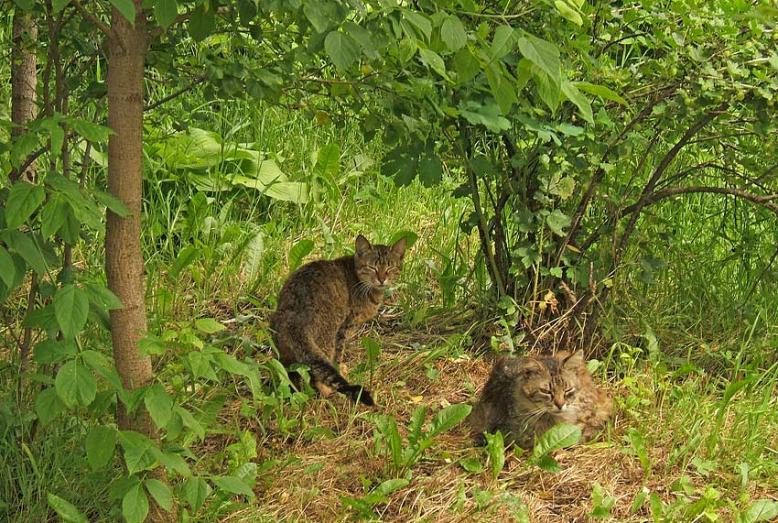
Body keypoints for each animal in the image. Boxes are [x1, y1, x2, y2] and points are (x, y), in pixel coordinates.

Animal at [270, 235, 406, 408]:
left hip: (283, 349)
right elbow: (338, 355)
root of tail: (295, 320)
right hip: (326, 339)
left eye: (390, 268)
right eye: (372, 268)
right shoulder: (345, 327)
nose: (382, 279)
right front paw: (340, 368)